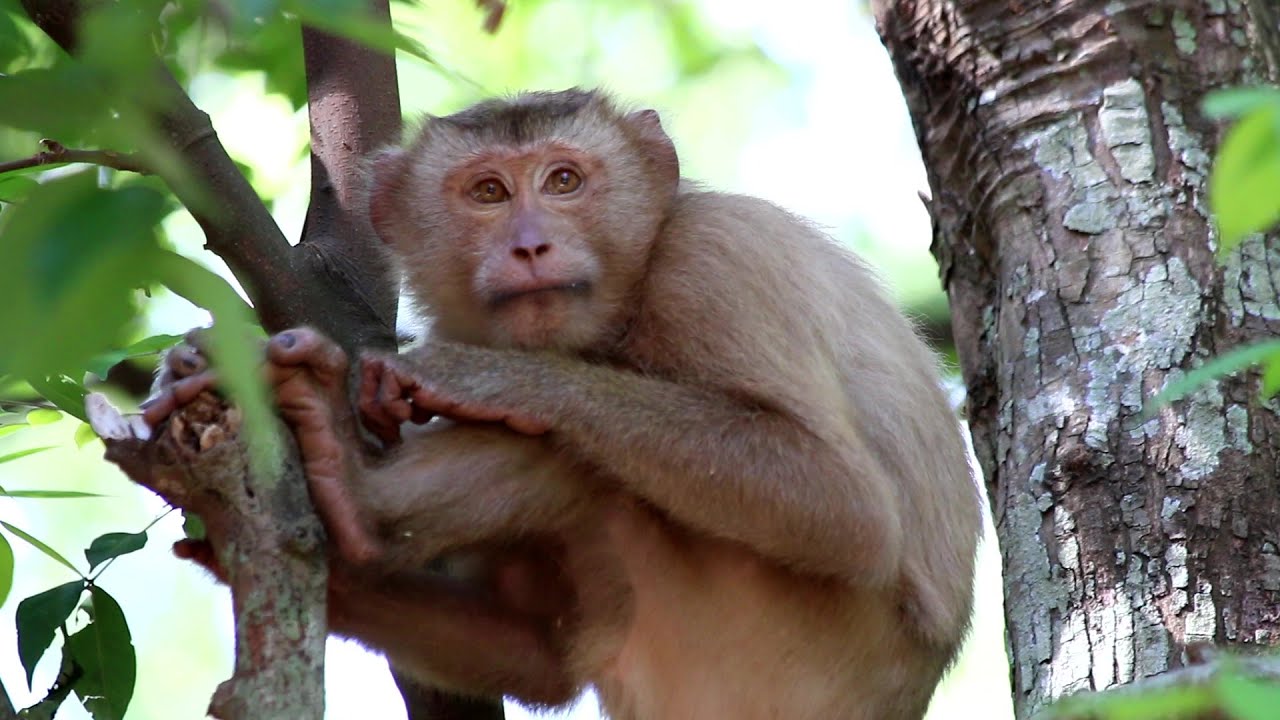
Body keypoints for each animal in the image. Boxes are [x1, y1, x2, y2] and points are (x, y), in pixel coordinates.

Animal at [146, 88, 981, 720]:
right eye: (488, 193)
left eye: (564, 182)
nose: (531, 245)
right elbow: (541, 660)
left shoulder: (716, 264)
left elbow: (845, 507)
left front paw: (495, 381)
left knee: (594, 465)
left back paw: (358, 492)